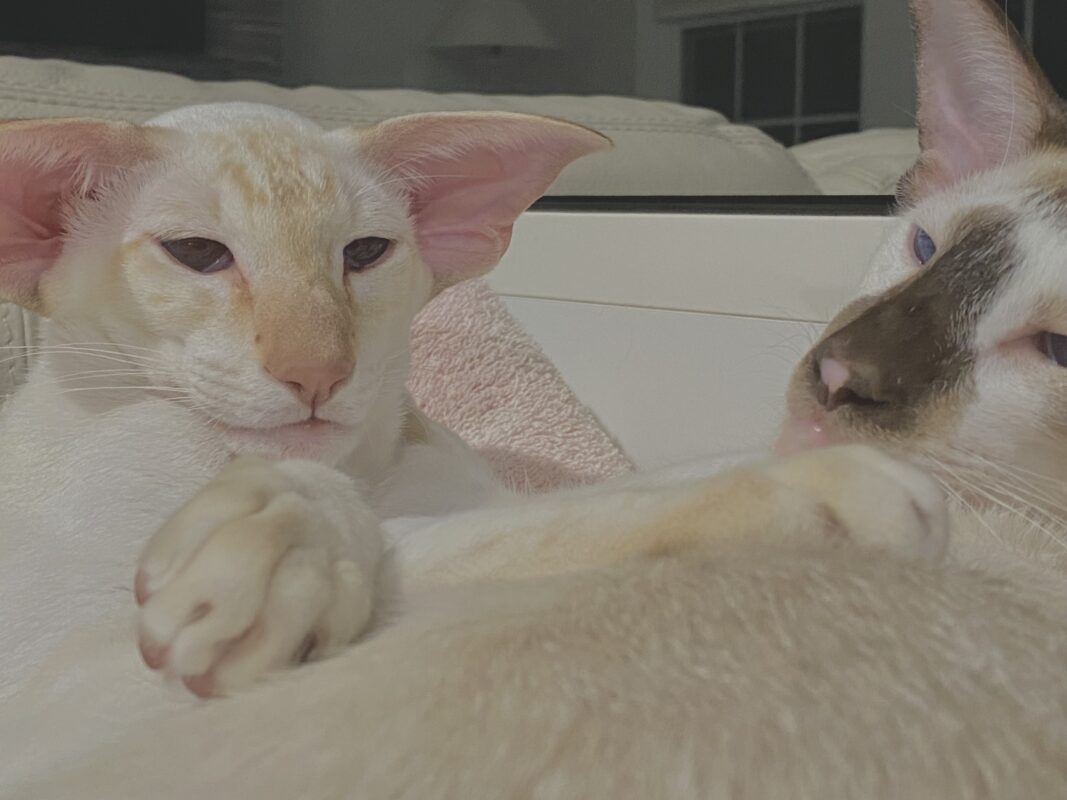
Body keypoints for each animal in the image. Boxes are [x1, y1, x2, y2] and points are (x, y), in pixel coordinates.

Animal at [5, 0, 1067, 797]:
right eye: (197, 254)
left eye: (365, 254)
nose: (317, 372)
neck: (367, 465)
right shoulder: (61, 675)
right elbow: (451, 540)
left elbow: (540, 515)